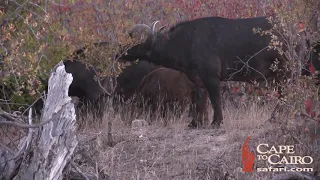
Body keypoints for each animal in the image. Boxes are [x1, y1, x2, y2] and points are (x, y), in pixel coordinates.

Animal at [119, 15, 290, 128]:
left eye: (136, 43)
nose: (120, 53)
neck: (188, 41)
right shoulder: (198, 81)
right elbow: (200, 102)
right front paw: (196, 123)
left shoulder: (212, 78)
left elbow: (215, 100)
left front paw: (216, 122)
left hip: (283, 74)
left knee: (285, 96)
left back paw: (273, 119)